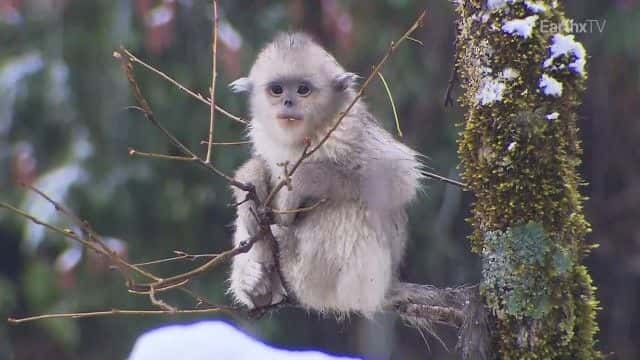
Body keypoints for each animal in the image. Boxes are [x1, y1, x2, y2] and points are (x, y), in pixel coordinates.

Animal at [228, 32, 422, 316]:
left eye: (303, 90)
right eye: (277, 90)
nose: (288, 102)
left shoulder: (348, 127)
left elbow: (397, 176)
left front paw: (299, 183)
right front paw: (251, 179)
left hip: (343, 282)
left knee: (352, 203)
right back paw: (257, 284)